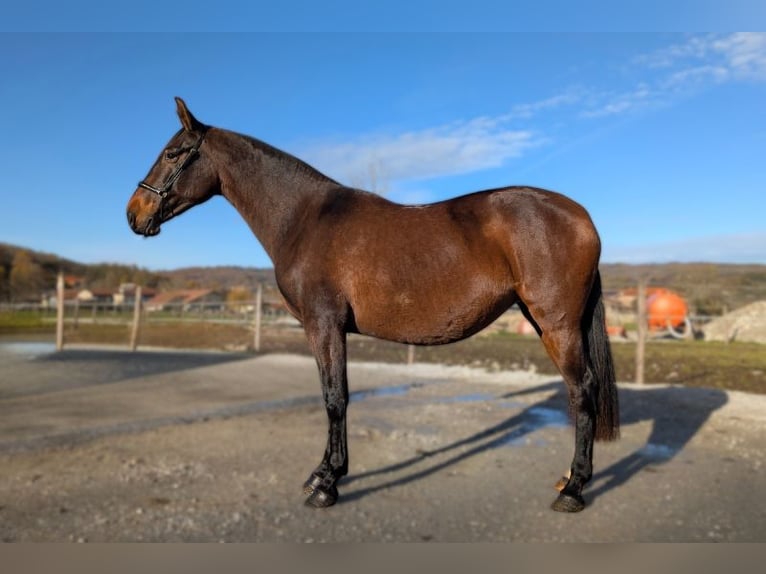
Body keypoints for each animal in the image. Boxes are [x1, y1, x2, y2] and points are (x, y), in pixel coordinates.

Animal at [127, 98, 620, 513]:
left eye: (173, 153)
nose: (134, 213)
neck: (305, 218)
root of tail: (581, 217)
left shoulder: (324, 325)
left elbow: (335, 398)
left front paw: (327, 484)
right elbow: (334, 396)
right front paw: (322, 474)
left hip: (557, 325)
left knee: (582, 391)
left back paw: (574, 490)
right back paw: (568, 480)